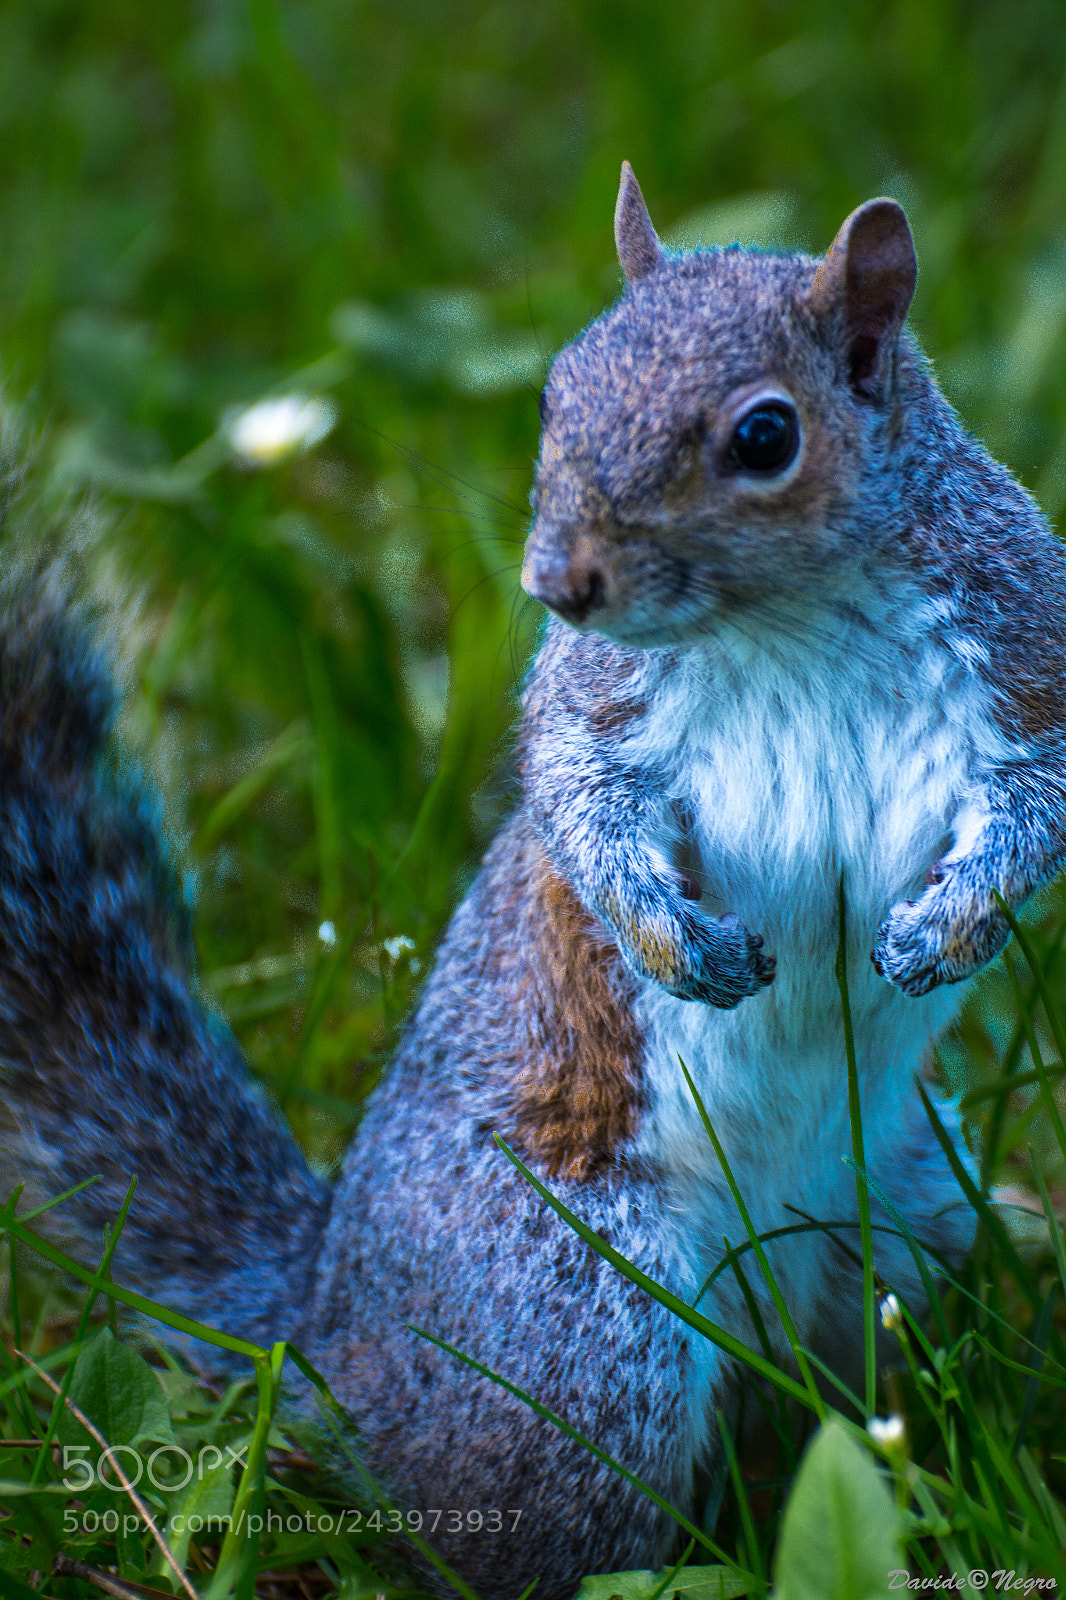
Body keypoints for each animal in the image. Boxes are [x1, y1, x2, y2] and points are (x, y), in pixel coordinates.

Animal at [3, 161, 1066, 1599]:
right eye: (558, 391)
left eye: (764, 437)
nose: (556, 580)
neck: (787, 621)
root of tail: (330, 1336)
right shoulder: (593, 707)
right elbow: (579, 810)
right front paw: (676, 947)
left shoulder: (1021, 660)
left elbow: (1034, 813)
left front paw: (948, 930)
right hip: (576, 1337)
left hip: (905, 1231)